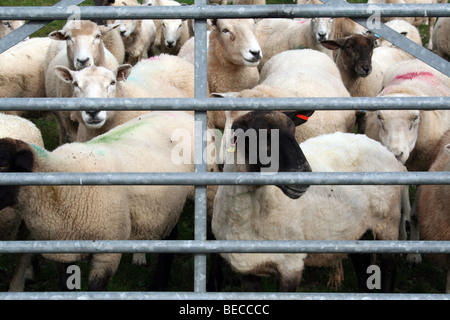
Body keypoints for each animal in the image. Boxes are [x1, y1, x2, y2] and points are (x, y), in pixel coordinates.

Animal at [0, 111, 196, 292]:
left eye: (3, 163)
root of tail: (178, 113)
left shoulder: (107, 252)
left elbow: (96, 288)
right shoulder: (60, 253)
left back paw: (157, 284)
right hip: (165, 204)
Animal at [212, 111, 408, 292]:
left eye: (293, 131)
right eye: (260, 135)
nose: (303, 175)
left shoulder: (291, 266)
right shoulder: (247, 271)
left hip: (388, 222)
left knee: (389, 267)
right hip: (357, 231)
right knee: (362, 265)